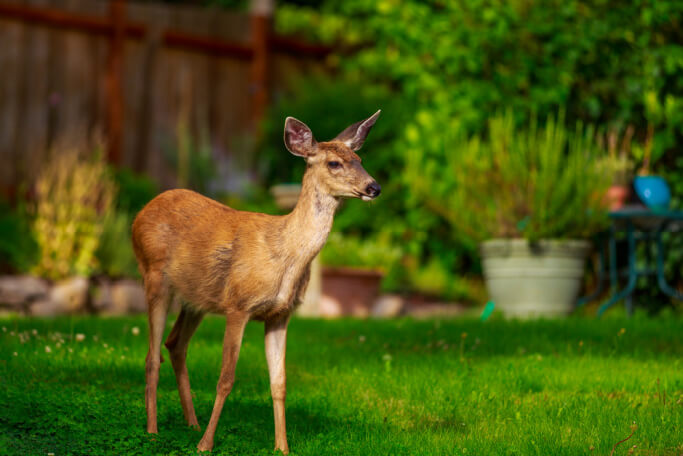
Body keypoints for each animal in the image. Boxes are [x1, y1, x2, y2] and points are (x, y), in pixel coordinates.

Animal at [131, 109, 382, 452]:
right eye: (334, 163)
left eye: (359, 158)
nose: (374, 187)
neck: (285, 256)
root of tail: (139, 215)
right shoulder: (238, 305)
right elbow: (226, 378)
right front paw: (206, 445)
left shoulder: (280, 314)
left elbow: (280, 382)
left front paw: (282, 447)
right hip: (154, 277)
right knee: (151, 356)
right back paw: (153, 430)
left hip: (197, 299)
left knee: (175, 344)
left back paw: (191, 423)